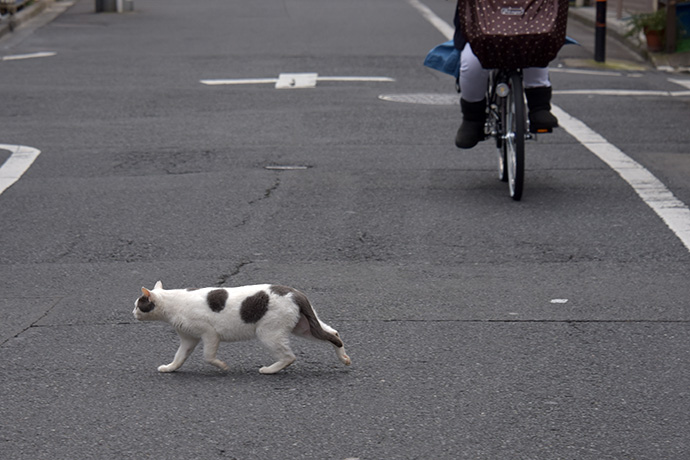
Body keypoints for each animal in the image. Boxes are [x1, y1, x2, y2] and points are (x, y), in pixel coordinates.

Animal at [132, 280, 352, 374]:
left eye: (138, 304)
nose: (132, 312)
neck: (172, 305)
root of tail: (296, 293)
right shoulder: (188, 338)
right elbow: (179, 357)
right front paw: (169, 368)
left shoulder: (209, 334)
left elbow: (208, 357)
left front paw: (222, 366)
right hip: (303, 327)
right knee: (334, 333)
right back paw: (344, 359)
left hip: (268, 332)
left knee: (290, 357)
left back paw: (268, 370)